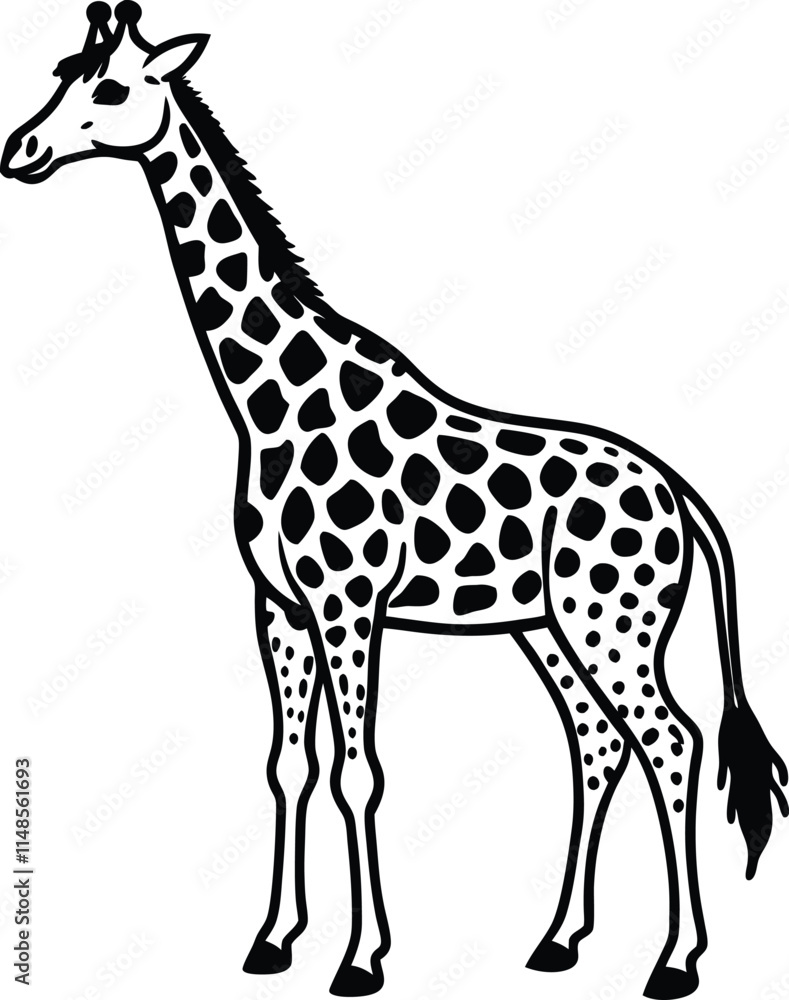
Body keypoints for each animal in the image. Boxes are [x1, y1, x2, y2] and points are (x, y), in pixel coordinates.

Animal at [2, 5, 787, 999]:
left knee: (670, 743)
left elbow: (357, 773)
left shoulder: (349, 603)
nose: (19, 150)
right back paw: (558, 941)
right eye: (62, 71)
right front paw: (272, 941)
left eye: (109, 88)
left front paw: (361, 958)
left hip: (614, 623)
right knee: (595, 745)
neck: (270, 401)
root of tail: (677, 493)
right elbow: (288, 766)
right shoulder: (278, 606)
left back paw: (675, 962)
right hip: (547, 627)